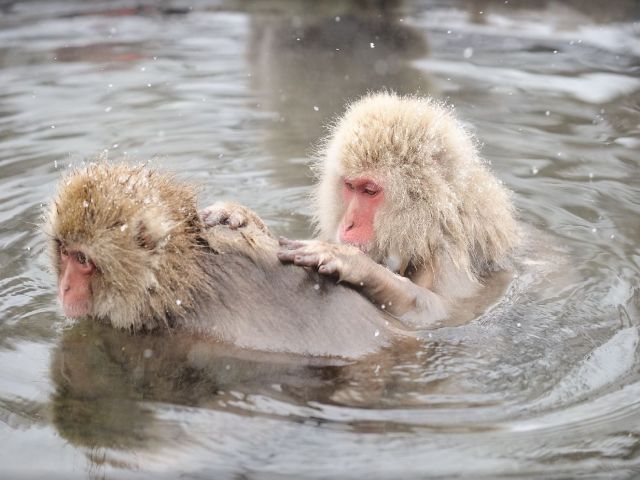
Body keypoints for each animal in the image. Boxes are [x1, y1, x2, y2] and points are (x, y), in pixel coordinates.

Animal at [203, 92, 519, 328]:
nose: (348, 224)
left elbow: (443, 312)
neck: (431, 225)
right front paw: (241, 215)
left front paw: (353, 263)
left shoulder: (447, 252)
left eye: (369, 191)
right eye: (350, 186)